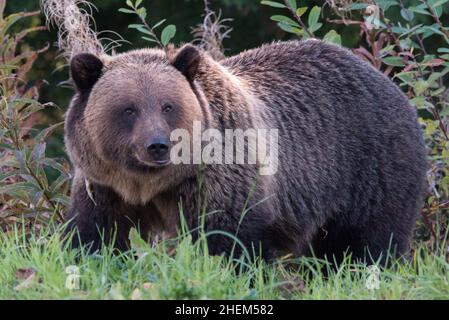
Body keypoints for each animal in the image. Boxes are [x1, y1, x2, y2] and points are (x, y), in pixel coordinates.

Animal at [65, 39, 426, 262]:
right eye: (129, 109)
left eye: (168, 106)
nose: (157, 145)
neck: (151, 185)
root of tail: (390, 84)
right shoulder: (105, 186)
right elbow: (96, 234)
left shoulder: (219, 175)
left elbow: (229, 238)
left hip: (370, 167)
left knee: (367, 241)